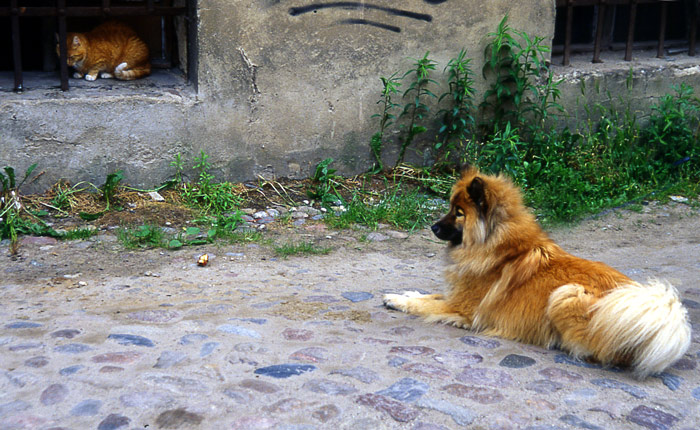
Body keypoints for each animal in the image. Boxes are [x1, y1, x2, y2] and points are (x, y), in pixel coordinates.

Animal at [386, 165, 692, 376]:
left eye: (459, 212)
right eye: (450, 208)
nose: (433, 227)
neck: (496, 246)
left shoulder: (463, 308)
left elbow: (424, 305)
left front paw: (399, 300)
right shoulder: (456, 295)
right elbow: (426, 295)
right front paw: (400, 294)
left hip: (566, 294)